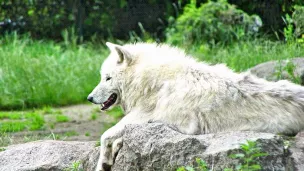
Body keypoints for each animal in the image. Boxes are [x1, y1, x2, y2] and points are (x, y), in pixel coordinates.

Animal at [87, 42, 304, 170]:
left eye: (107, 78)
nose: (89, 98)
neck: (155, 80)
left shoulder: (160, 119)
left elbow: (106, 135)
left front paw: (103, 163)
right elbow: (116, 135)